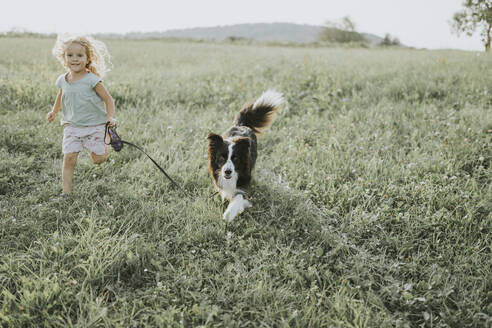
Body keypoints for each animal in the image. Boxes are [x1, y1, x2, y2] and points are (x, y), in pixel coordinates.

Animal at [208, 91, 284, 222]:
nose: (228, 172)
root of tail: (241, 125)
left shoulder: (243, 183)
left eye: (235, 158)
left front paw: (228, 215)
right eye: (221, 158)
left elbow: (239, 197)